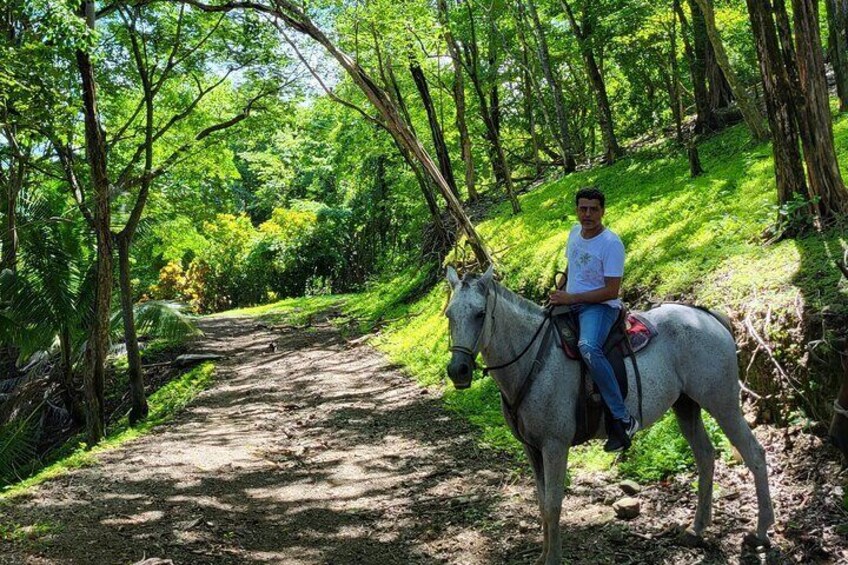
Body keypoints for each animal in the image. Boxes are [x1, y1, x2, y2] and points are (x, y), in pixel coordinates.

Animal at [444, 266, 776, 564]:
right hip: (686, 405)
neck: (533, 359)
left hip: (722, 403)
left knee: (754, 453)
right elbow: (541, 502)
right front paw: (541, 555)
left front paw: (553, 558)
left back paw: (761, 532)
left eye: (479, 314)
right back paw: (697, 529)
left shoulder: (554, 445)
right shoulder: (531, 448)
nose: (458, 370)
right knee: (706, 456)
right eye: (449, 314)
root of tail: (708, 317)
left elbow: (552, 504)